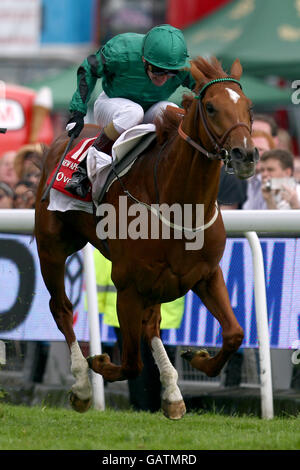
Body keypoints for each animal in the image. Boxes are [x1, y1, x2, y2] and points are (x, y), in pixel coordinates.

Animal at [35, 57, 256, 420]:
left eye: (249, 107)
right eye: (211, 107)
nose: (245, 155)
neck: (180, 206)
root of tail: (58, 144)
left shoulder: (206, 275)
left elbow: (235, 334)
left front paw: (198, 358)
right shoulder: (127, 285)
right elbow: (131, 364)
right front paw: (99, 363)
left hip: (157, 282)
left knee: (151, 325)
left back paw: (172, 394)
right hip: (52, 248)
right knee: (62, 308)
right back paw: (81, 386)